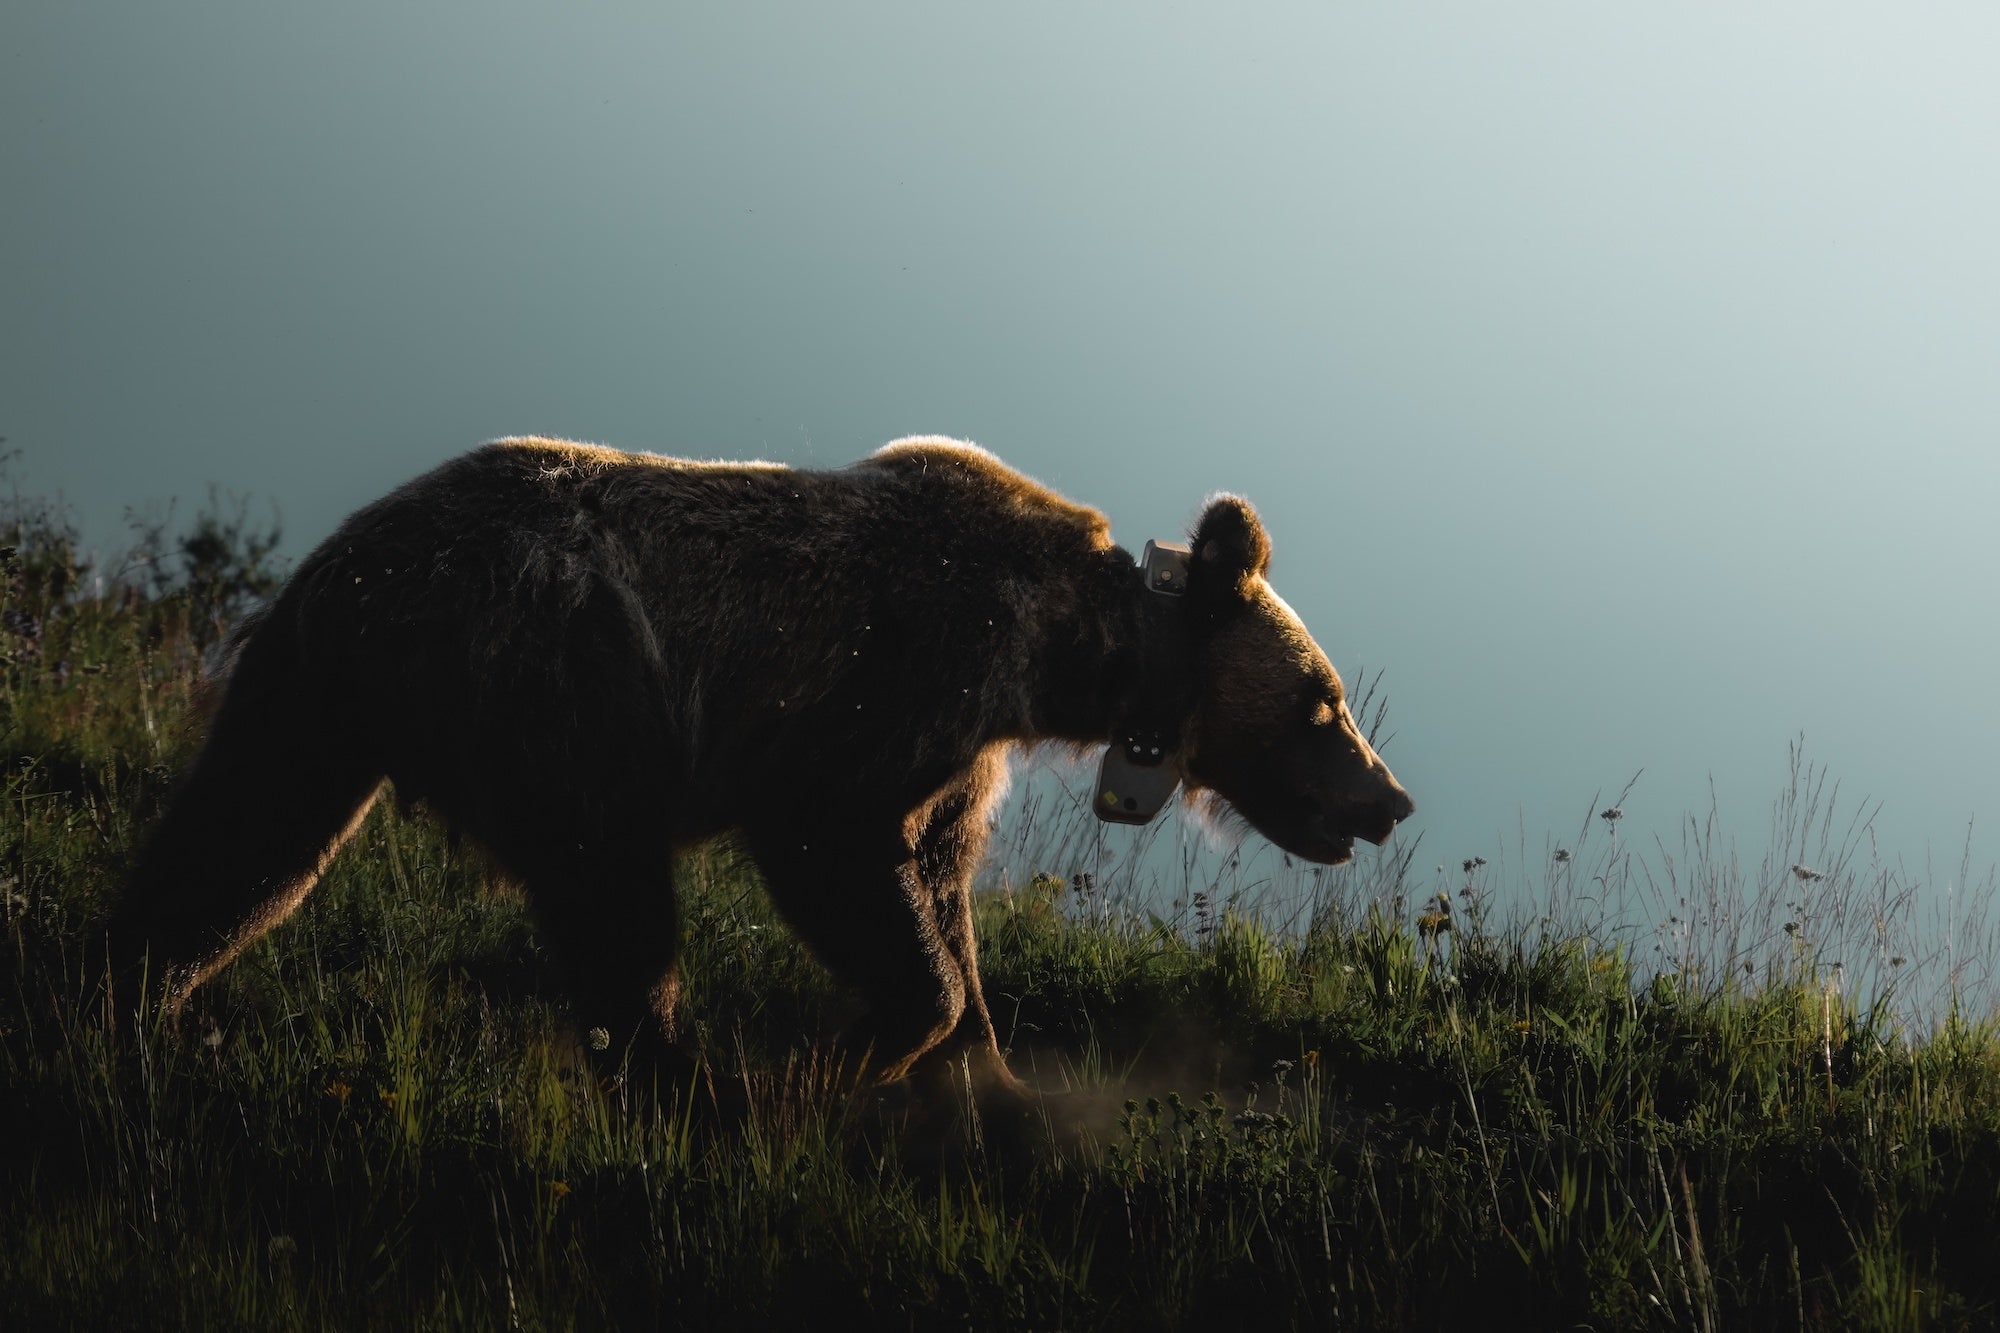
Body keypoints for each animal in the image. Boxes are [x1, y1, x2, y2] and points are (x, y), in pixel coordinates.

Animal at [106, 436, 1413, 1097]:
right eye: (1322, 700)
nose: (1390, 798)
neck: (1064, 658)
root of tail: (355, 572)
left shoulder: (960, 755)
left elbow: (943, 888)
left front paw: (980, 1069)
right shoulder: (906, 669)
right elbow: (832, 841)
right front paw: (877, 1042)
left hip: (313, 696)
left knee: (244, 837)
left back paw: (141, 996)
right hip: (565, 686)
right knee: (614, 893)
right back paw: (675, 1070)